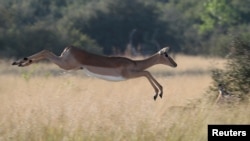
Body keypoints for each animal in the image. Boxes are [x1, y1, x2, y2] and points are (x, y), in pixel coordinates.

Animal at [12, 45, 178, 99]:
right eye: (166, 55)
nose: (175, 64)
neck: (135, 63)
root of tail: (69, 48)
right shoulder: (129, 75)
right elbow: (147, 73)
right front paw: (158, 93)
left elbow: (148, 73)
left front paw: (159, 93)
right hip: (65, 65)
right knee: (46, 51)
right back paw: (20, 62)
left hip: (65, 63)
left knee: (45, 52)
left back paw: (21, 62)